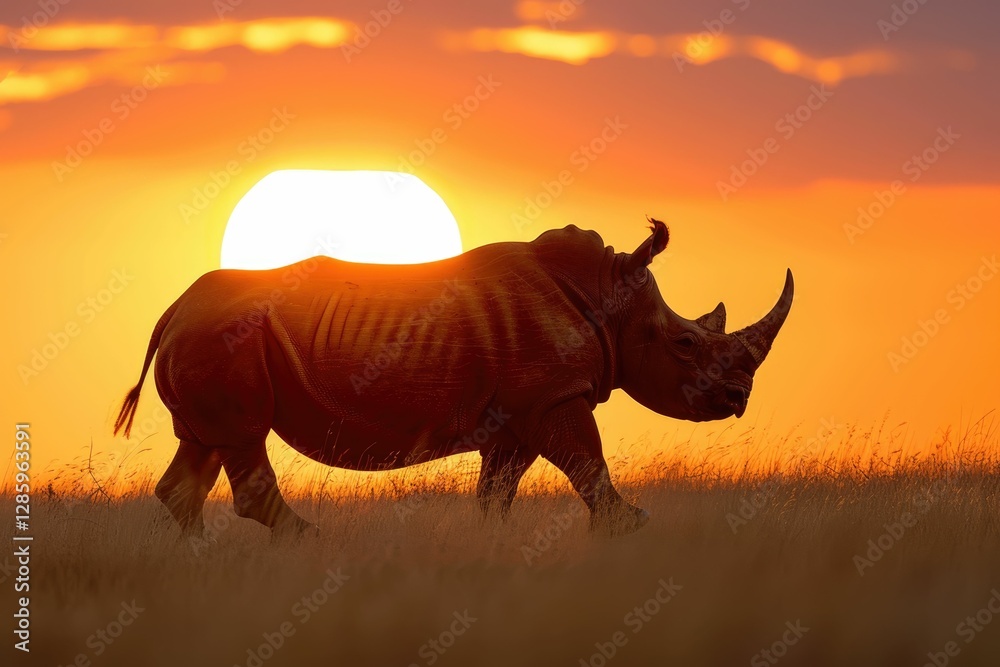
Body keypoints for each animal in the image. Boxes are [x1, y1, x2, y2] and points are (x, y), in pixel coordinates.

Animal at [114, 219, 792, 538]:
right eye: (684, 343)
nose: (738, 399)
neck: (608, 296)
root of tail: (174, 309)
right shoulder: (553, 398)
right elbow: (588, 463)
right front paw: (632, 526)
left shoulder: (521, 412)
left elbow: (499, 490)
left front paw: (489, 542)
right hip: (223, 339)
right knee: (241, 438)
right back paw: (311, 540)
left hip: (213, 339)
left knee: (203, 447)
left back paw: (201, 563)